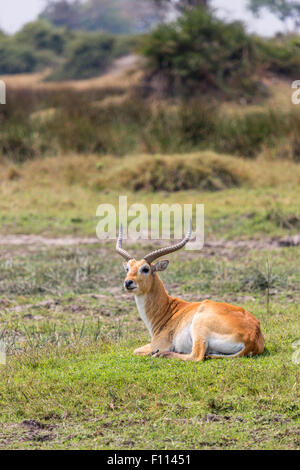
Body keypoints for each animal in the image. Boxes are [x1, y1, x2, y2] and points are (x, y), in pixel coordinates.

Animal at [116, 222, 264, 362]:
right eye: (127, 268)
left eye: (145, 269)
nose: (128, 282)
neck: (168, 310)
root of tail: (253, 336)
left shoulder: (158, 344)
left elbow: (136, 350)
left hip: (199, 329)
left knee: (196, 356)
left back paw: (161, 354)